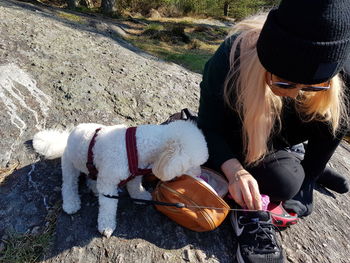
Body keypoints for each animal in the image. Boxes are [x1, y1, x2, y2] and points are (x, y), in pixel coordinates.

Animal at [32, 120, 208, 238]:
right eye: (194, 164)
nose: (200, 174)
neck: (136, 146)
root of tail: (66, 141)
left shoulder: (134, 174)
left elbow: (135, 187)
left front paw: (140, 196)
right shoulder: (108, 183)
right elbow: (108, 206)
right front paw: (106, 225)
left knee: (91, 179)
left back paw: (94, 188)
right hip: (71, 164)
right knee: (69, 185)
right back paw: (71, 203)